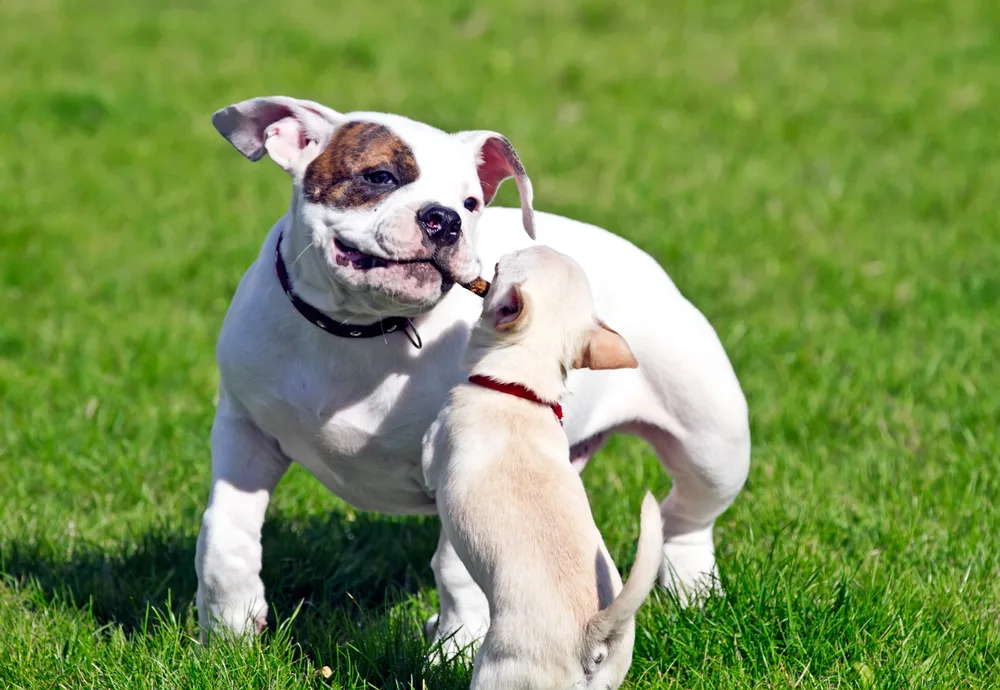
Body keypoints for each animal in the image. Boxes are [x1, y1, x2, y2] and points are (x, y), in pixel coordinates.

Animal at [422, 247, 664, 688]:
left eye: (503, 264)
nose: (506, 250)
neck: (520, 390)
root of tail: (592, 633)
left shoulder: (435, 447)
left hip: (499, 669)